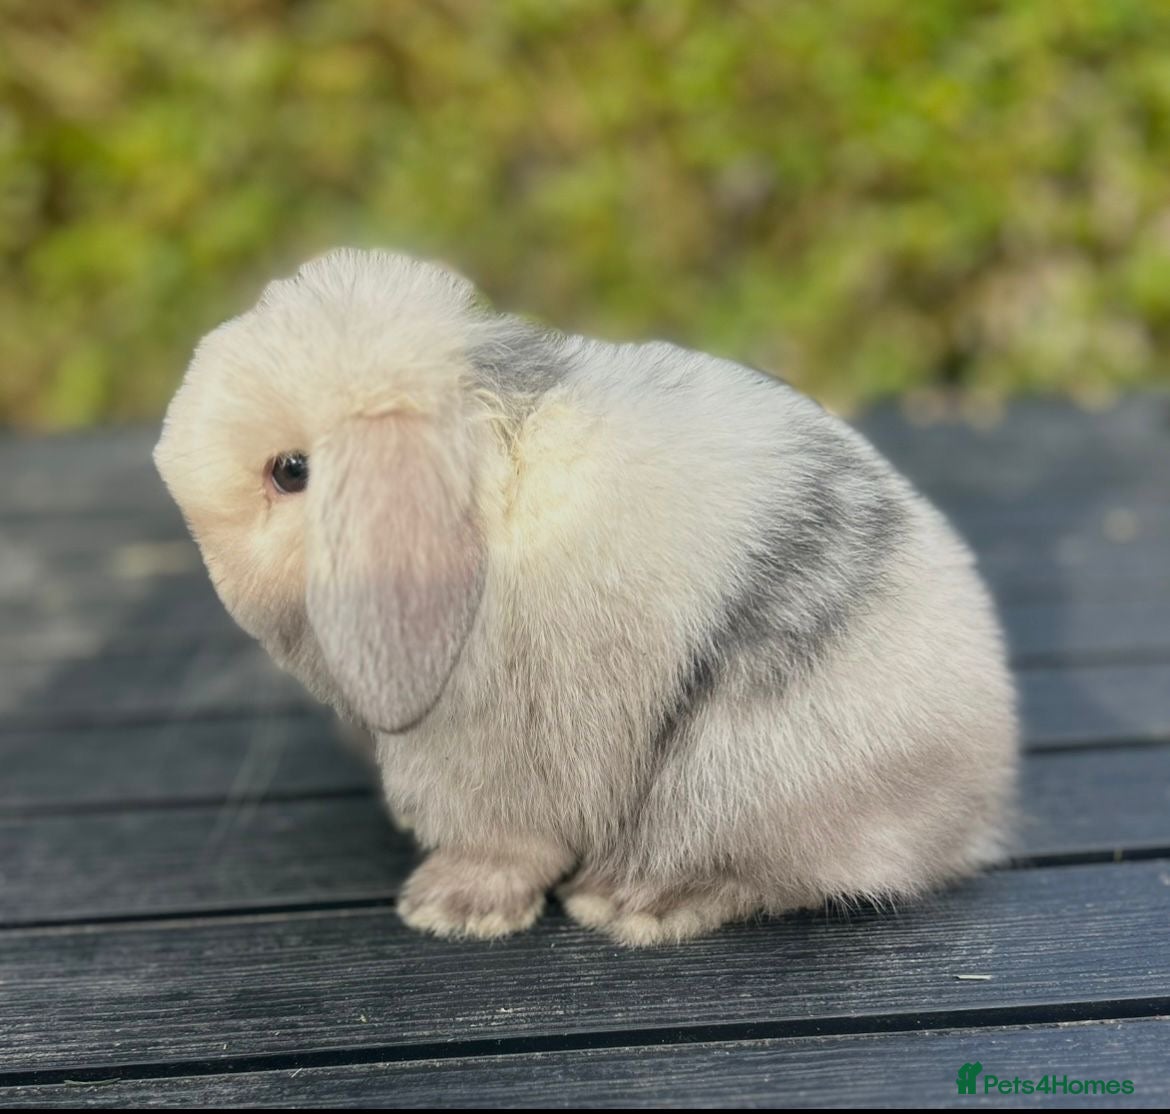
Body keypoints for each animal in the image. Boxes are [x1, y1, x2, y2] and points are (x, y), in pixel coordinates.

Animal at [155, 248, 1018, 947]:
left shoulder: (491, 747)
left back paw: (638, 905)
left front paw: (451, 908)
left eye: (292, 471)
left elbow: (505, 841)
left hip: (735, 776)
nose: (175, 485)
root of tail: (973, 804)